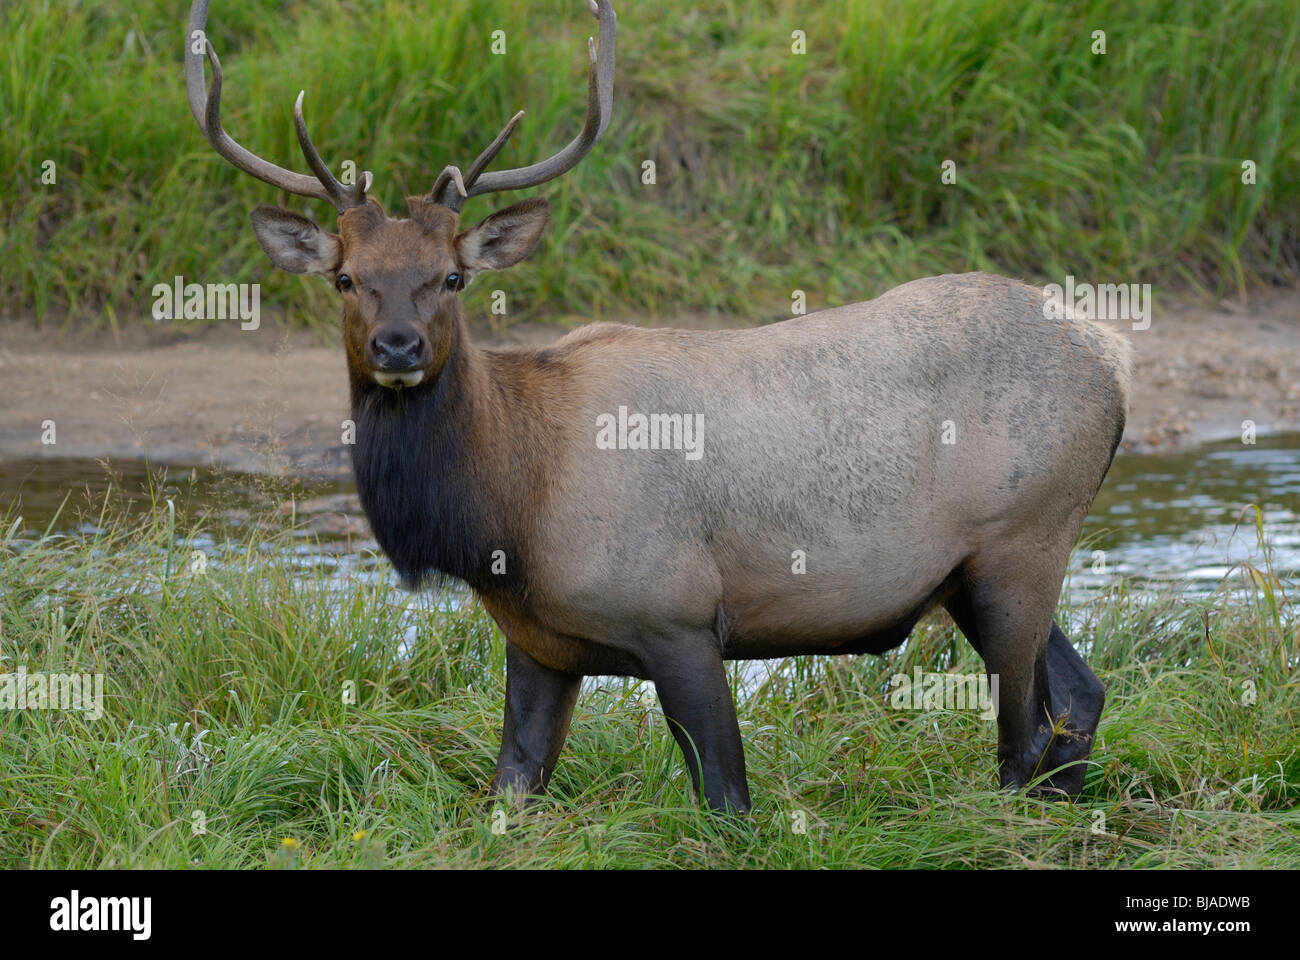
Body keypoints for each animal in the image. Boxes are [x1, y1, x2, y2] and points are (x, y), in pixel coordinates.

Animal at [185, 0, 1128, 811]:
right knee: (1081, 696)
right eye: (347, 277)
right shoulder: (538, 644)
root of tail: (1113, 360)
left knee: (1024, 734)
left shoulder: (677, 615)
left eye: (452, 277)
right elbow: (510, 790)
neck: (506, 511)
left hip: (1024, 539)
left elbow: (728, 800)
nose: (398, 348)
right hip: (973, 572)